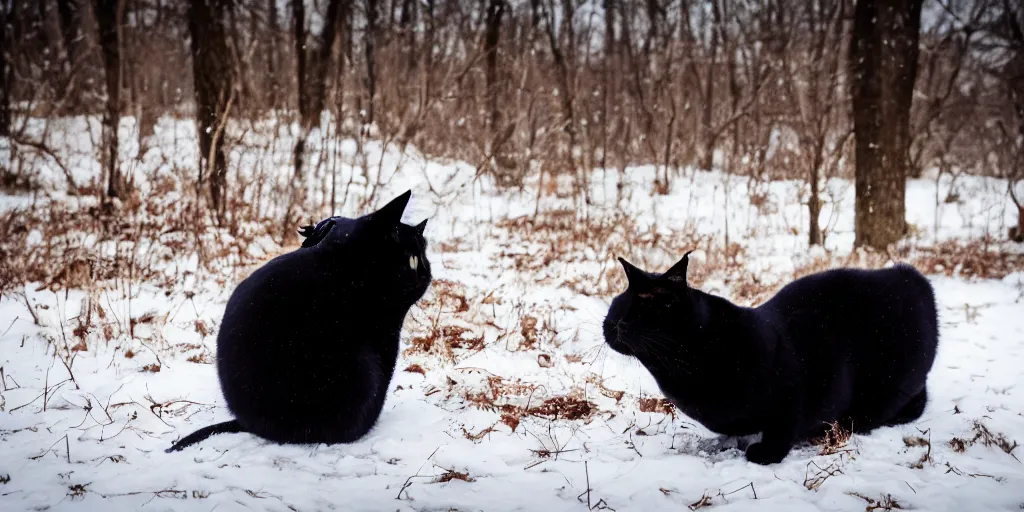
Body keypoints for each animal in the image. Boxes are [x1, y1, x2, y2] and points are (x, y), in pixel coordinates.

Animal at [602, 253, 937, 466]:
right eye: (615, 306)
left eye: (640, 310)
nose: (610, 323)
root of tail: (909, 275)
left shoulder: (792, 390)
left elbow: (785, 424)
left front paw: (766, 453)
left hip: (888, 386)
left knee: (911, 402)